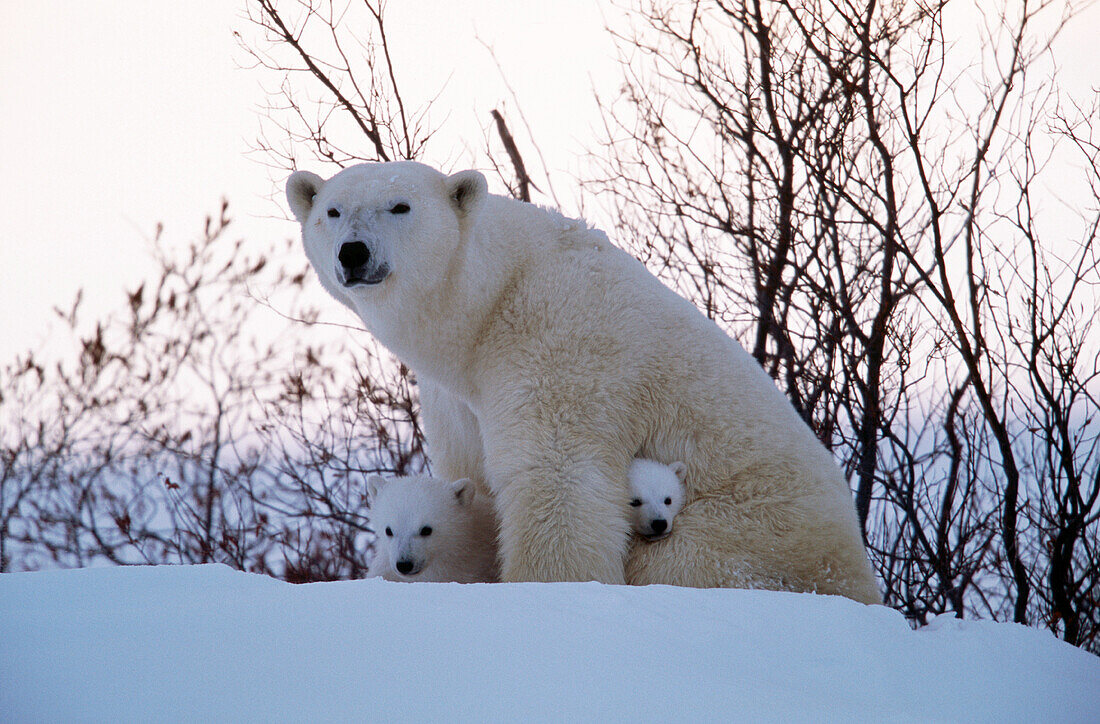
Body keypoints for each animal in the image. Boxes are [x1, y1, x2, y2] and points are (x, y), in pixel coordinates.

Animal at [288, 160, 880, 598]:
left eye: (400, 206)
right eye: (332, 211)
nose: (354, 253)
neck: (491, 300)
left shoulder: (559, 346)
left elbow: (557, 480)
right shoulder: (455, 396)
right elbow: (470, 478)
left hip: (746, 534)